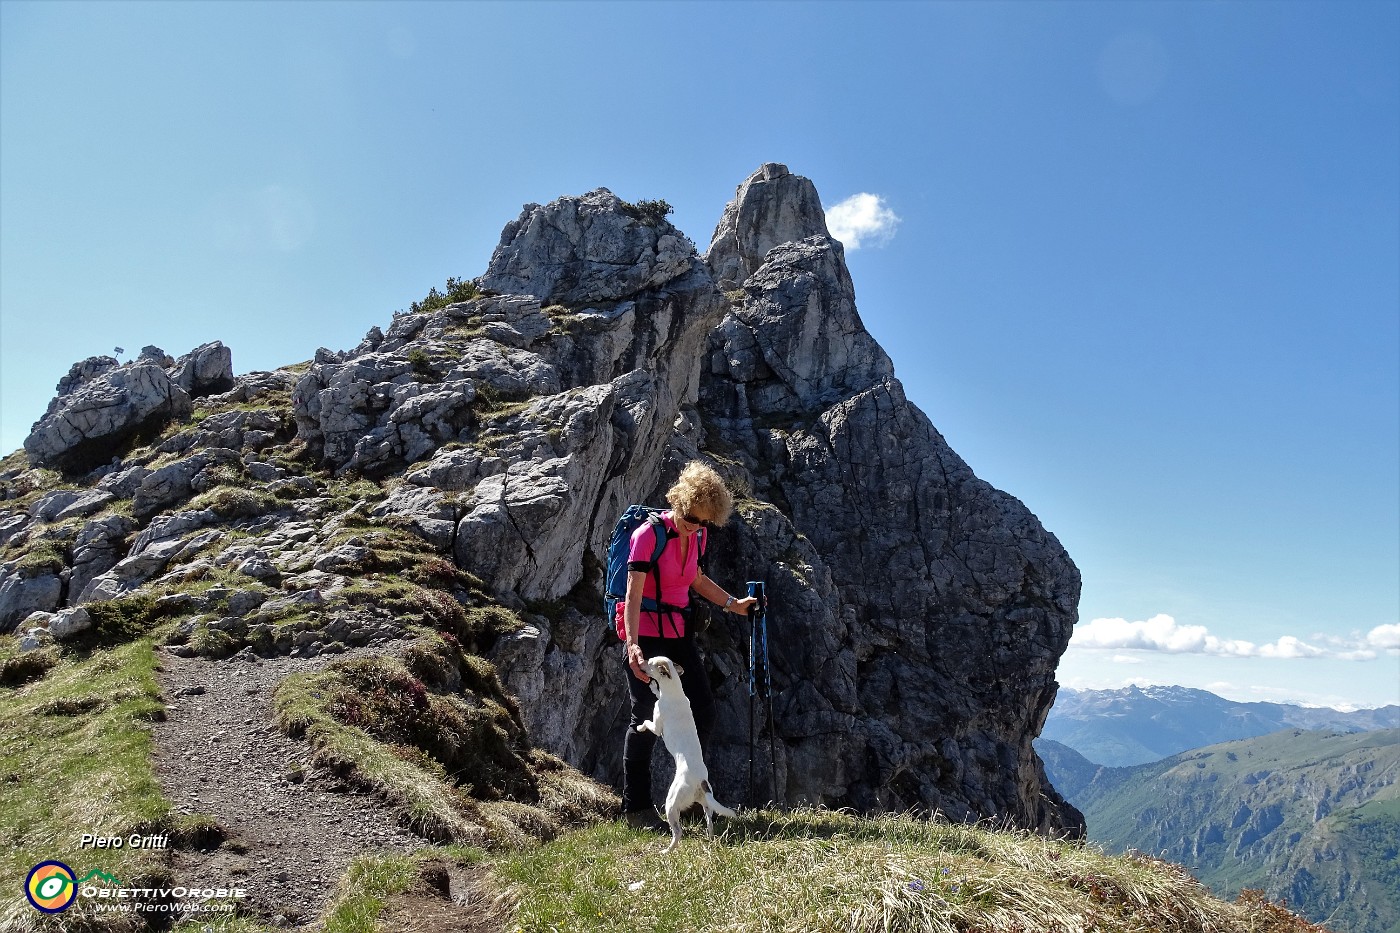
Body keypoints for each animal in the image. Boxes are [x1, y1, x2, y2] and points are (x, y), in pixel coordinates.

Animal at [638, 652, 739, 851]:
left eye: (649, 663)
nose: (640, 662)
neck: (674, 691)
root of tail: (701, 781)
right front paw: (654, 687)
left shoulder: (657, 727)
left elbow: (647, 723)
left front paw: (639, 727)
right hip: (705, 802)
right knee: (709, 821)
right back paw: (710, 838)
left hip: (671, 803)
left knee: (678, 832)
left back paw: (667, 851)